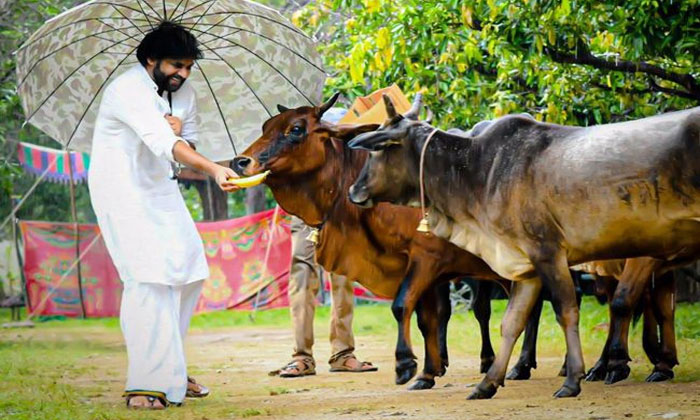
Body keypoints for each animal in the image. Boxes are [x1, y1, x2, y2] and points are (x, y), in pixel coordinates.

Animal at [347, 95, 700, 399]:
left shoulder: (548, 253)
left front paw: (572, 380)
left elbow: (566, 312)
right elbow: (511, 323)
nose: (354, 190)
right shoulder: (525, 266)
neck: (478, 171)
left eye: (378, 151)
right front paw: (487, 383)